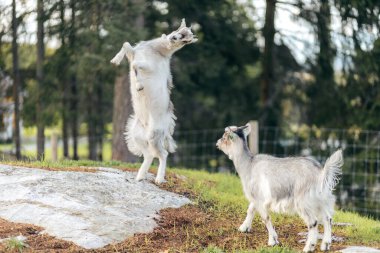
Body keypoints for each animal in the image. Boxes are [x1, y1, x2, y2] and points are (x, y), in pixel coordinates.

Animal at [110, 18, 197, 183]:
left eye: (186, 40)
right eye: (179, 31)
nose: (173, 38)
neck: (158, 51)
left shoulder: (147, 66)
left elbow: (135, 65)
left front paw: (139, 86)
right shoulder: (134, 53)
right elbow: (126, 45)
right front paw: (115, 60)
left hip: (154, 136)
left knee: (163, 154)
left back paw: (158, 179)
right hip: (137, 136)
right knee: (149, 154)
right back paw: (139, 177)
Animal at [217, 123, 344, 252]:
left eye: (224, 137)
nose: (217, 143)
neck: (248, 165)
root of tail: (321, 173)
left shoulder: (259, 198)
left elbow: (265, 217)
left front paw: (272, 241)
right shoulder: (257, 198)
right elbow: (251, 209)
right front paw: (244, 228)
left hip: (304, 201)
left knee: (313, 222)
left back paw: (308, 247)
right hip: (321, 200)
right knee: (327, 218)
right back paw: (325, 245)